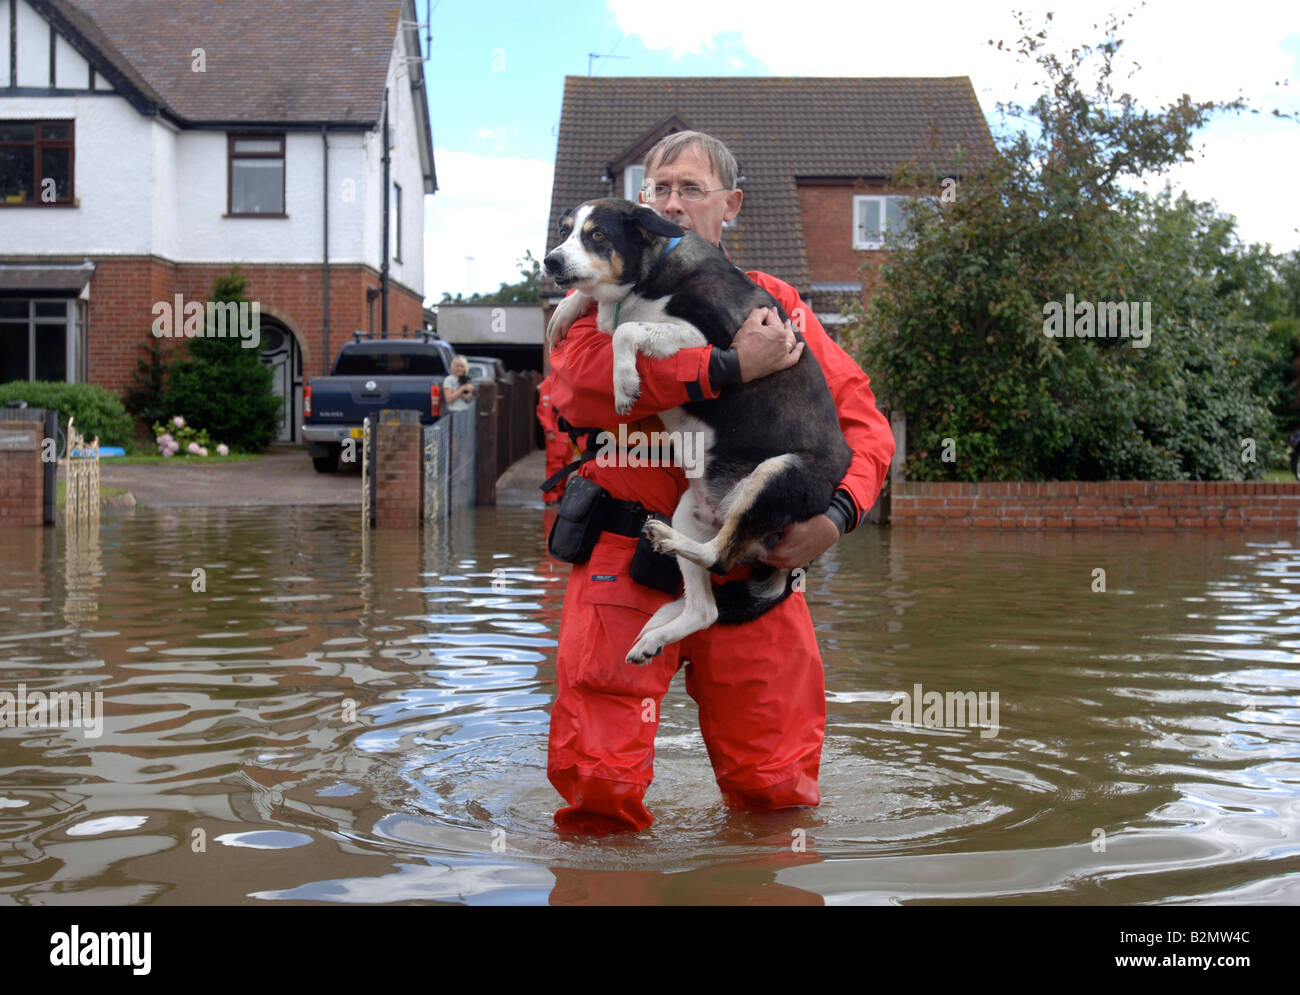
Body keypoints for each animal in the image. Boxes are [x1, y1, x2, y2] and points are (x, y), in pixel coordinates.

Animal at [540, 197, 852, 663]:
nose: (551, 260)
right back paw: (654, 635)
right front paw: (566, 310)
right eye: (565, 231)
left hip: (776, 474)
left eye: (597, 234)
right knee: (705, 609)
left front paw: (624, 383)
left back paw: (666, 541)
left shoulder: (709, 339)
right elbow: (606, 315)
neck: (650, 275)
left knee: (719, 557)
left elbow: (627, 331)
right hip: (693, 506)